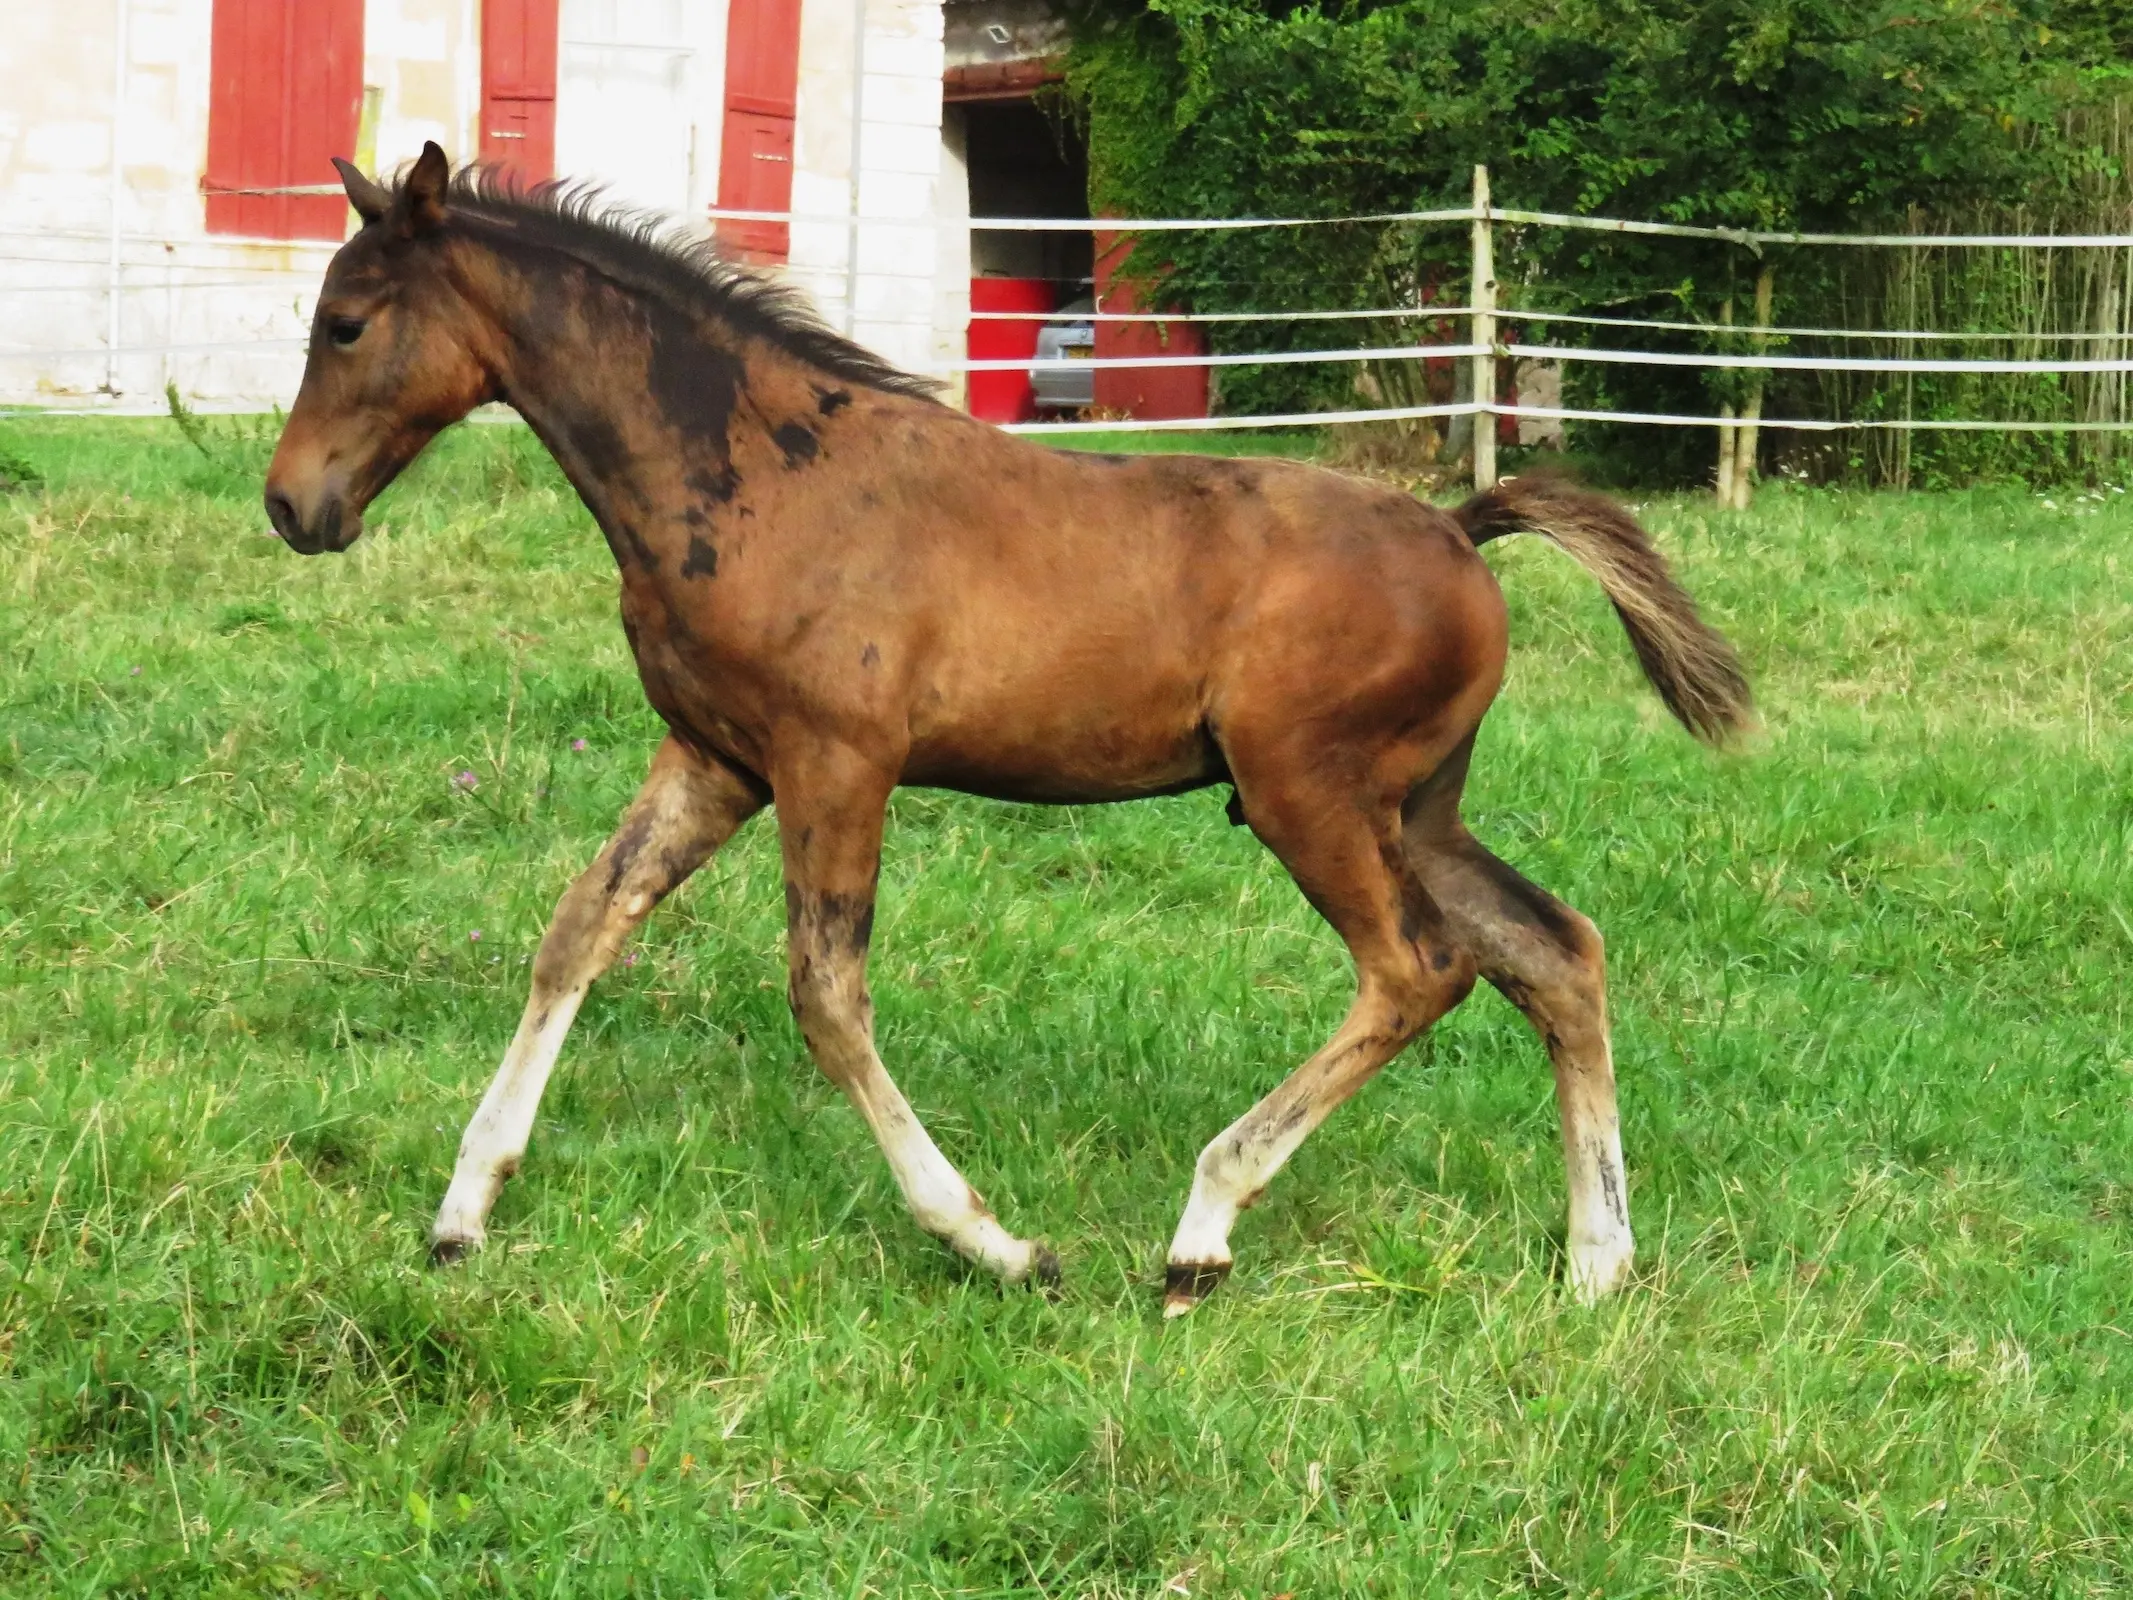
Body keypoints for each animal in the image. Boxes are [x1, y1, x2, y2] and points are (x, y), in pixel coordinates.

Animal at [266, 144, 1749, 1314]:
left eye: (347, 323)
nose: (292, 506)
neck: (757, 472)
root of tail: (1458, 529)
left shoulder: (837, 761)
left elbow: (826, 996)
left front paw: (994, 1242)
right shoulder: (718, 758)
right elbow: (581, 929)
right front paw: (462, 1212)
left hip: (1304, 792)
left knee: (1418, 967)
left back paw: (1202, 1229)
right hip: (1414, 804)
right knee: (1553, 951)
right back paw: (1596, 1262)